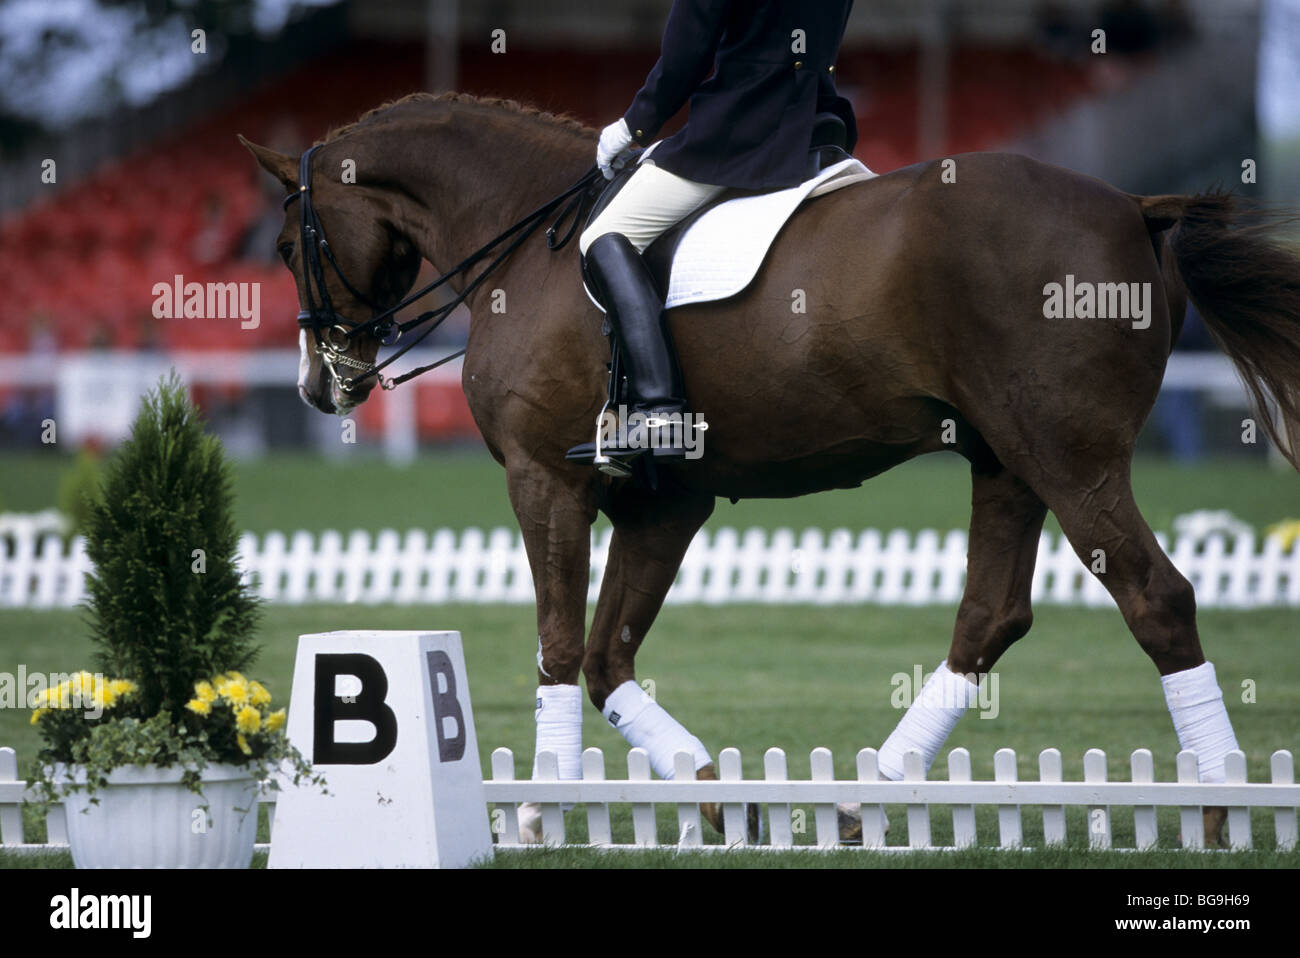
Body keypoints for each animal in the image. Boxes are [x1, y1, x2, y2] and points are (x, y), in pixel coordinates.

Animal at [244, 93, 1300, 842]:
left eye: (289, 242)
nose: (319, 387)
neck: (525, 244)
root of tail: (1134, 203)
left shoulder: (546, 480)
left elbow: (557, 646)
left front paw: (543, 808)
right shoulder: (665, 503)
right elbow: (606, 657)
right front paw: (714, 799)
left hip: (1070, 462)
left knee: (1157, 600)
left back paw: (1217, 811)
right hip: (1006, 461)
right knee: (989, 618)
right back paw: (867, 799)